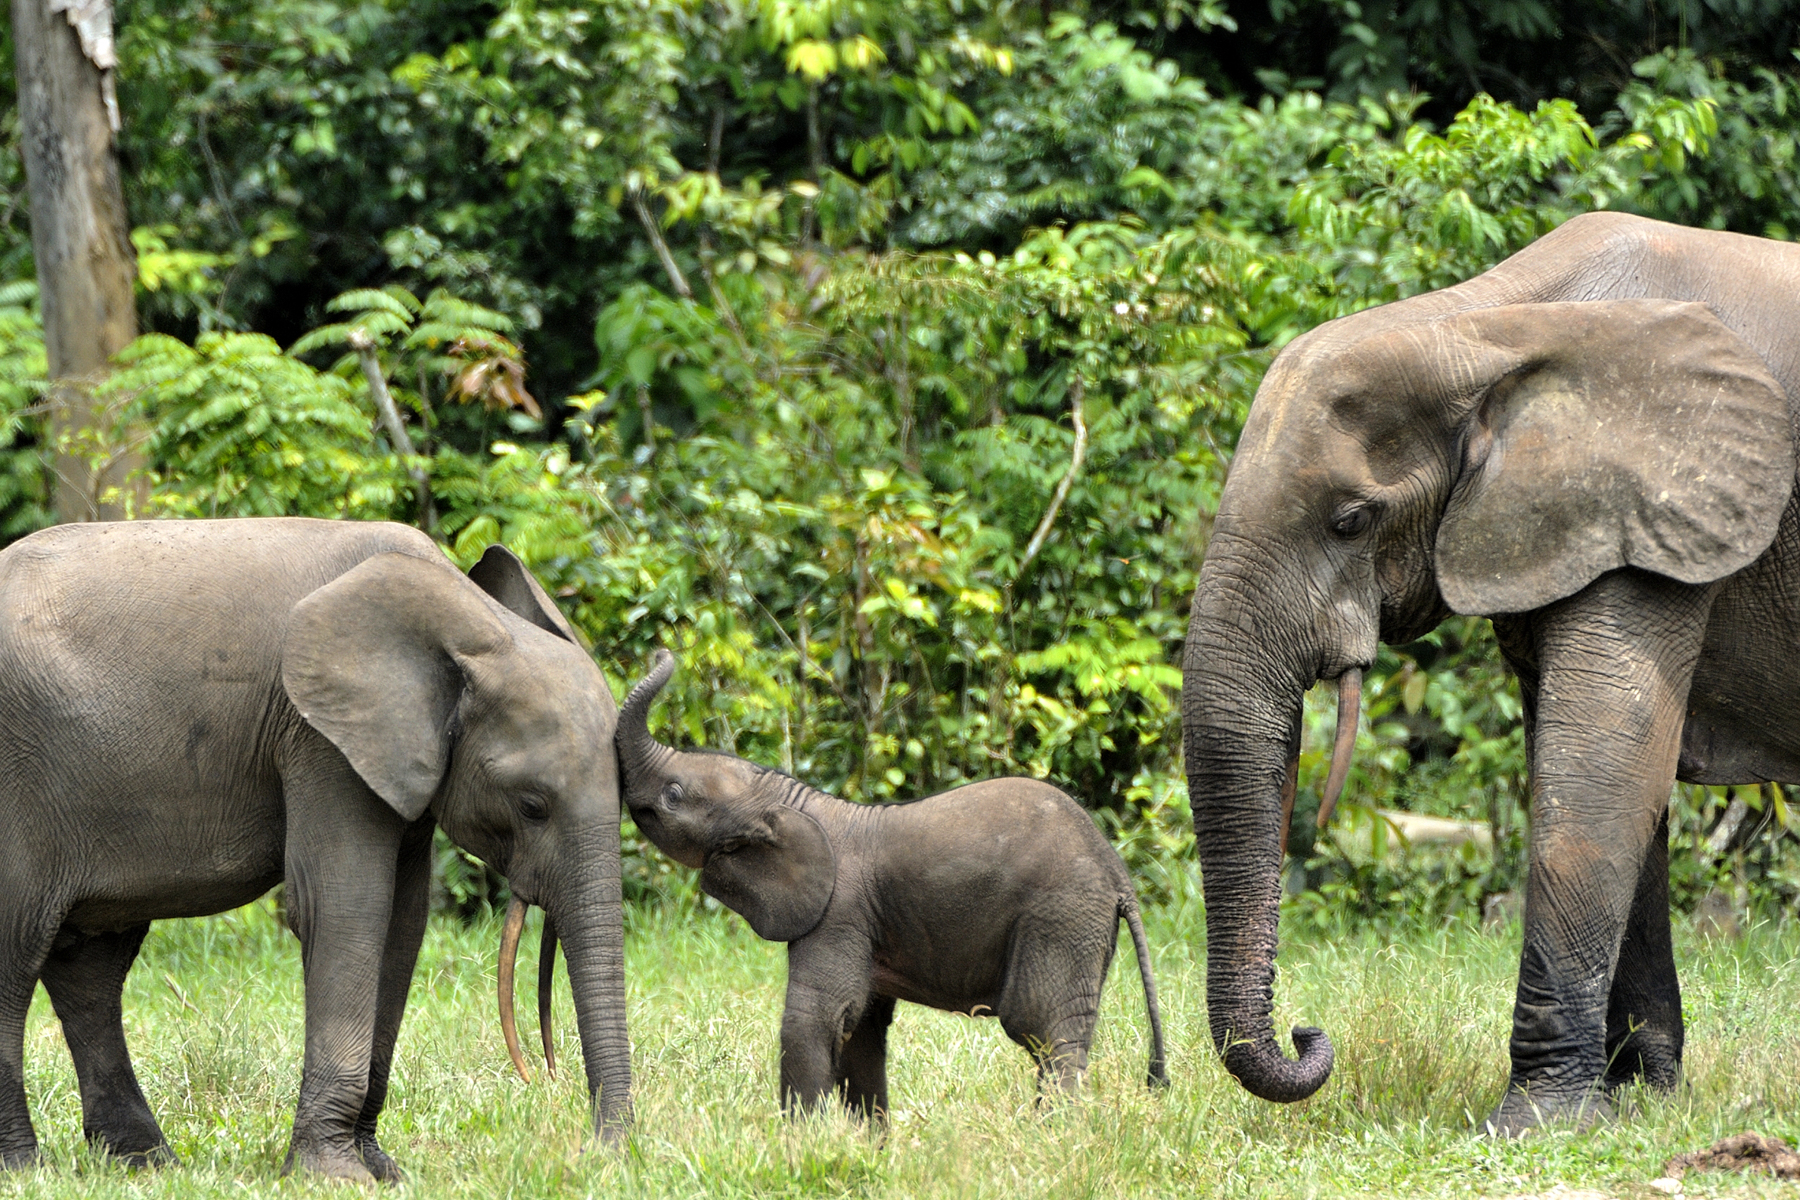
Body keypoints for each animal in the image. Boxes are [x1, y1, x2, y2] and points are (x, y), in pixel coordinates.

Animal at [0, 518, 630, 1180]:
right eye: (532, 804)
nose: (595, 1152)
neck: (467, 617)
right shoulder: (318, 740)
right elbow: (344, 908)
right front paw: (335, 1175)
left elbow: (401, 924)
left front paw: (381, 1169)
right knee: (18, 950)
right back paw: (23, 1167)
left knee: (91, 966)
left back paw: (146, 1164)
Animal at [616, 651, 1168, 1117]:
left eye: (672, 795)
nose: (664, 651)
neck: (790, 801)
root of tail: (1118, 873)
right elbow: (860, 1031)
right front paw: (867, 1147)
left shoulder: (837, 913)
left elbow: (814, 1020)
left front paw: (804, 1146)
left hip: (1059, 918)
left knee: (1045, 1033)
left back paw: (1053, 1134)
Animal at [1181, 210, 1800, 1134]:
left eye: (1350, 521)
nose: (1306, 1034)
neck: (1480, 326)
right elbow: (1607, 778)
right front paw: (1639, 1103)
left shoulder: (1653, 503)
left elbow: (1600, 769)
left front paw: (1538, 1125)